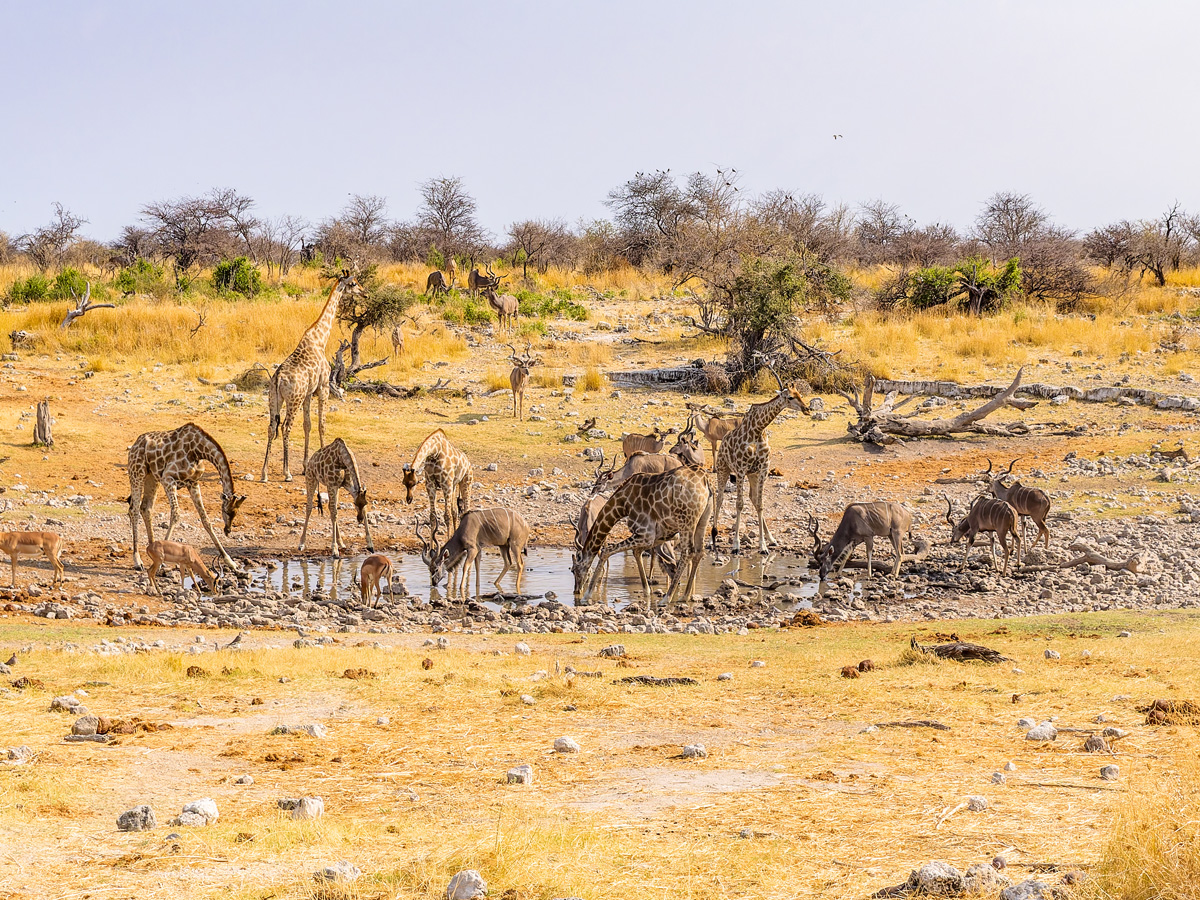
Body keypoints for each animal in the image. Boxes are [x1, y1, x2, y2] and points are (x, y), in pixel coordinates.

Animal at [127, 423, 246, 571]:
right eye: (225, 511)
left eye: (235, 513)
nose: (228, 530)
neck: (198, 450)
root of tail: (135, 444)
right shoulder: (168, 478)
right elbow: (176, 514)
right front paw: (163, 560)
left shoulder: (193, 483)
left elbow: (205, 519)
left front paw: (230, 561)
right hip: (137, 473)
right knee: (134, 510)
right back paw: (137, 560)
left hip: (152, 478)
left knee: (146, 508)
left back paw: (152, 549)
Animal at [260, 270, 366, 482]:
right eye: (354, 283)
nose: (365, 293)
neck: (320, 339)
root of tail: (278, 379)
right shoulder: (324, 387)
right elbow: (321, 425)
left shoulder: (309, 393)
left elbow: (307, 425)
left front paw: (305, 465)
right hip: (294, 399)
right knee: (285, 427)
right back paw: (286, 473)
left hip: (274, 399)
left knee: (271, 427)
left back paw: (265, 473)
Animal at [571, 466, 712, 607]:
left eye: (575, 570)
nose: (576, 591)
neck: (622, 503)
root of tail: (705, 480)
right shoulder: (656, 536)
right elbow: (637, 552)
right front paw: (647, 592)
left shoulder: (645, 534)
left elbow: (607, 551)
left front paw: (586, 596)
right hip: (702, 520)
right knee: (698, 552)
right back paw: (685, 596)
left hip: (686, 521)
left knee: (688, 551)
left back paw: (667, 598)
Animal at [711, 385, 807, 555]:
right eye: (790, 397)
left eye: (800, 395)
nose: (806, 409)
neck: (757, 429)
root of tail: (723, 441)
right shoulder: (741, 469)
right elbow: (739, 504)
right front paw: (736, 545)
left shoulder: (763, 469)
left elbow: (760, 504)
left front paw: (763, 545)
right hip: (723, 469)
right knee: (720, 497)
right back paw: (713, 537)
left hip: (752, 475)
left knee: (753, 499)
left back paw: (772, 539)